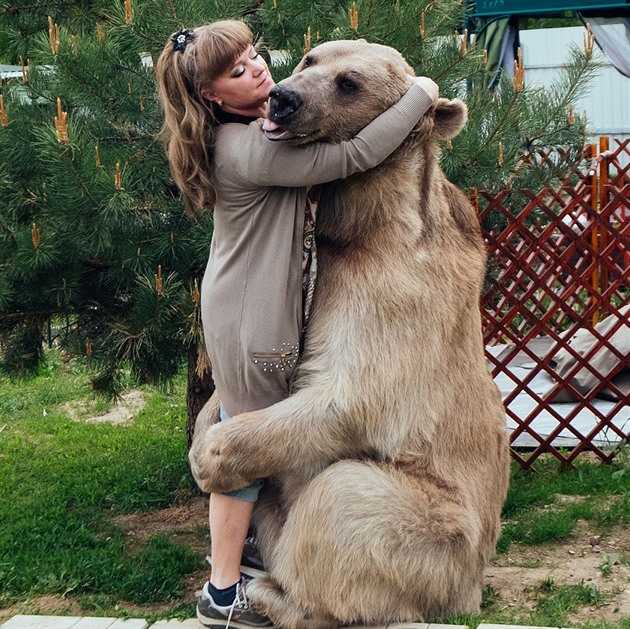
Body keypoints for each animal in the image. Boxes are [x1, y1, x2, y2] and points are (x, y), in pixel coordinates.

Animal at [190, 40, 512, 628]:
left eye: (349, 83)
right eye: (309, 59)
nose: (282, 98)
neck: (362, 227)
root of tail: (469, 592)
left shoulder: (398, 295)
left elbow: (350, 396)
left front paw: (210, 455)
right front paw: (206, 425)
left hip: (440, 536)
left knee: (342, 498)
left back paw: (270, 591)